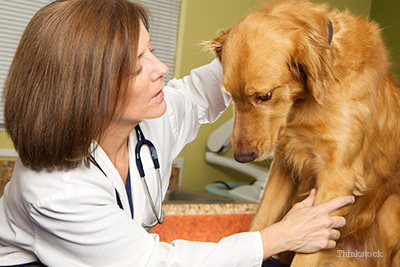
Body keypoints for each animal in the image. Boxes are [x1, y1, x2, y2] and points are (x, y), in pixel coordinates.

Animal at [206, 0, 400, 266]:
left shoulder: (338, 177)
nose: (241, 157)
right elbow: (260, 224)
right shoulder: (284, 164)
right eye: (229, 96)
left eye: (264, 96)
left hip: (391, 210)